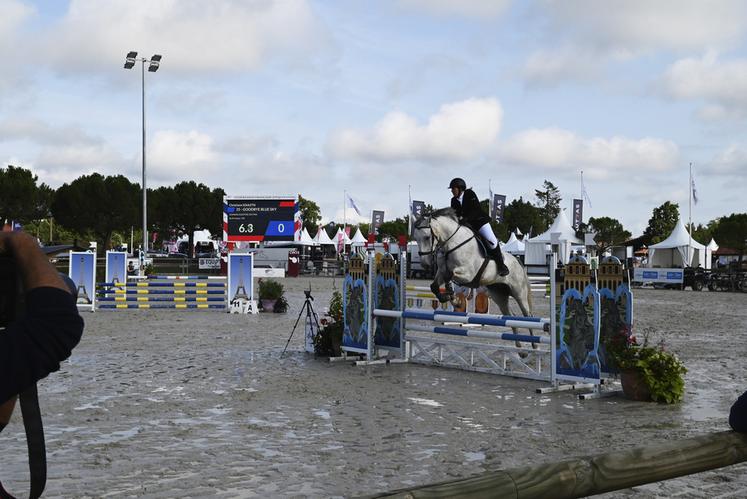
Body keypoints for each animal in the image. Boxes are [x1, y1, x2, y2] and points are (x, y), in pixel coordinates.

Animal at [412, 207, 536, 340]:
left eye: (426, 237)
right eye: (415, 238)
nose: (425, 264)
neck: (451, 243)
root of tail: (518, 261)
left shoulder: (468, 274)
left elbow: (449, 276)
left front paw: (454, 299)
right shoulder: (441, 271)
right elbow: (434, 286)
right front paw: (449, 298)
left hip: (519, 293)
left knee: (528, 316)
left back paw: (533, 343)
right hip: (499, 294)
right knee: (511, 317)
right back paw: (520, 345)